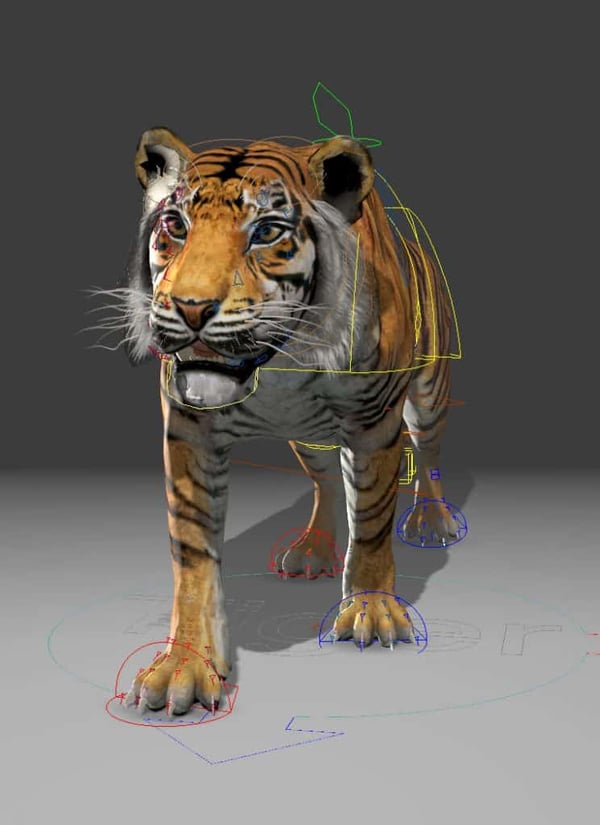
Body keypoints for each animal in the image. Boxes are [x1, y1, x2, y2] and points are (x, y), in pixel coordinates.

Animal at [119, 127, 459, 716]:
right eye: (176, 225)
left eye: (266, 232)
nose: (190, 307)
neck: (280, 366)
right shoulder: (189, 430)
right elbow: (193, 558)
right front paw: (183, 667)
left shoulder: (374, 421)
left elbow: (372, 522)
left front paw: (372, 610)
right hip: (309, 438)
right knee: (325, 483)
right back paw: (314, 547)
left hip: (429, 387)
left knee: (429, 451)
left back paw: (432, 521)